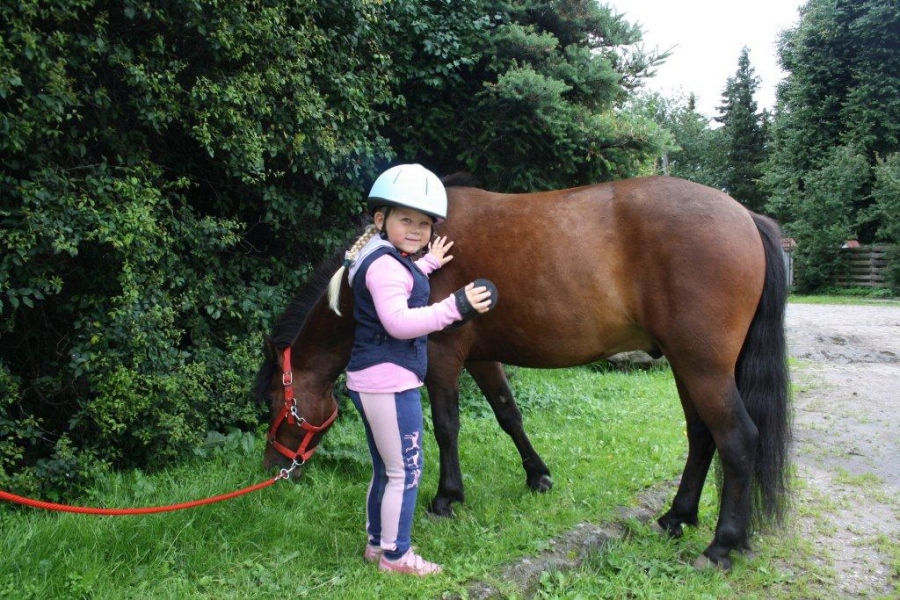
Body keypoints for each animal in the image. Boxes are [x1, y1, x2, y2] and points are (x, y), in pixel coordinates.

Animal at [255, 176, 788, 568]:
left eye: (279, 403)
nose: (272, 468)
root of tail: (745, 216)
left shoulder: (443, 356)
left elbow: (447, 426)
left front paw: (447, 498)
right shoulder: (481, 356)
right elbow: (509, 414)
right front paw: (538, 476)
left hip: (703, 367)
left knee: (737, 439)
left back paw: (721, 545)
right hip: (686, 366)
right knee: (701, 437)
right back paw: (677, 516)